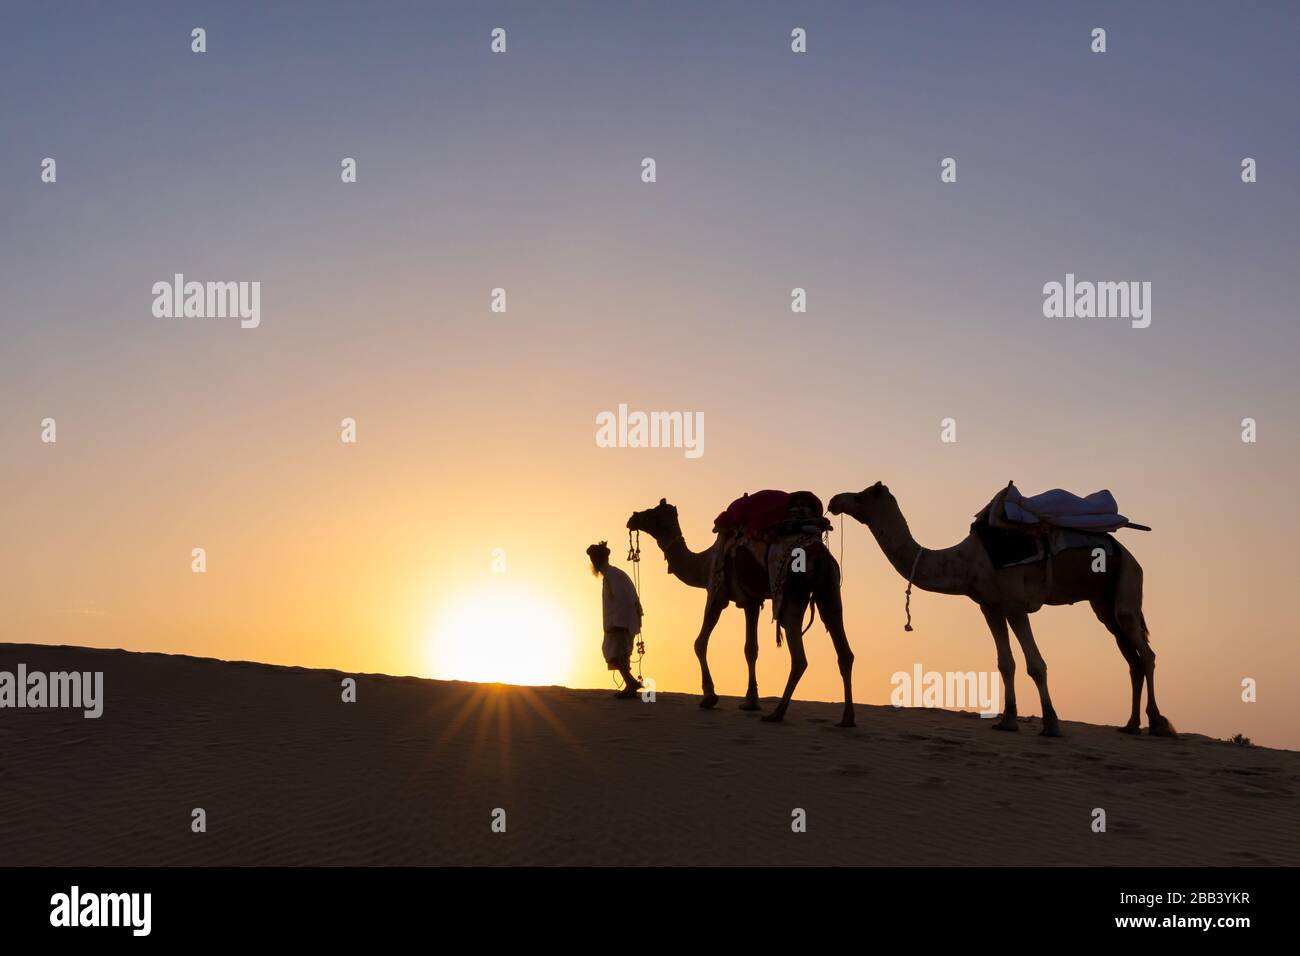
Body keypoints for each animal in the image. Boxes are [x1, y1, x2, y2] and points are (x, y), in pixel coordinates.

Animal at [832, 486, 1180, 738]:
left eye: (863, 495)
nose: (836, 500)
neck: (967, 561)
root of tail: (1130, 554)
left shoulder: (1014, 604)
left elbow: (1035, 664)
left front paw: (1051, 724)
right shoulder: (989, 607)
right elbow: (1005, 663)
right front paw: (1007, 721)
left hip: (1128, 585)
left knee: (1145, 652)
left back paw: (1158, 723)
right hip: (1103, 602)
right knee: (1132, 658)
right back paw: (1131, 725)